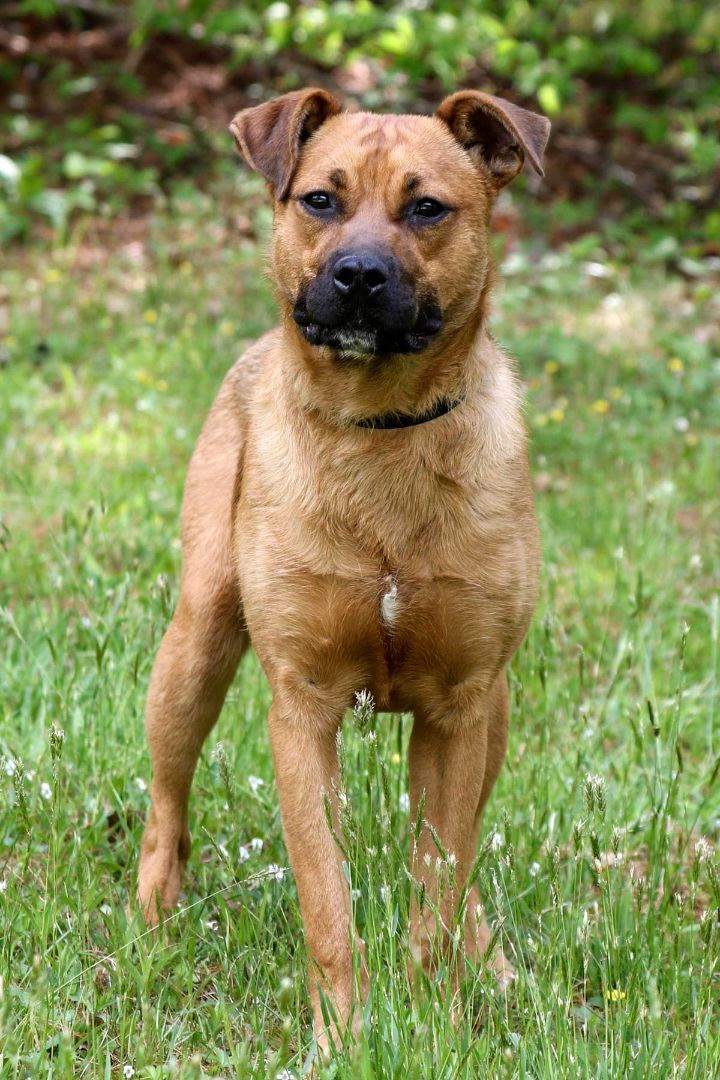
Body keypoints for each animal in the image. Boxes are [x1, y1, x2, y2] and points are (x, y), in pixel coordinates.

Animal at [138, 88, 548, 1049]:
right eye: (319, 199)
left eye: (427, 208)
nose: (358, 275)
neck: (382, 430)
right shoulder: (303, 706)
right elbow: (327, 897)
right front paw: (343, 1033)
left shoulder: (462, 706)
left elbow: (439, 882)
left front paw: (435, 1018)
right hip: (195, 646)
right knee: (167, 799)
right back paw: (153, 912)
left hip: (498, 711)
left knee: (459, 864)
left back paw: (491, 956)